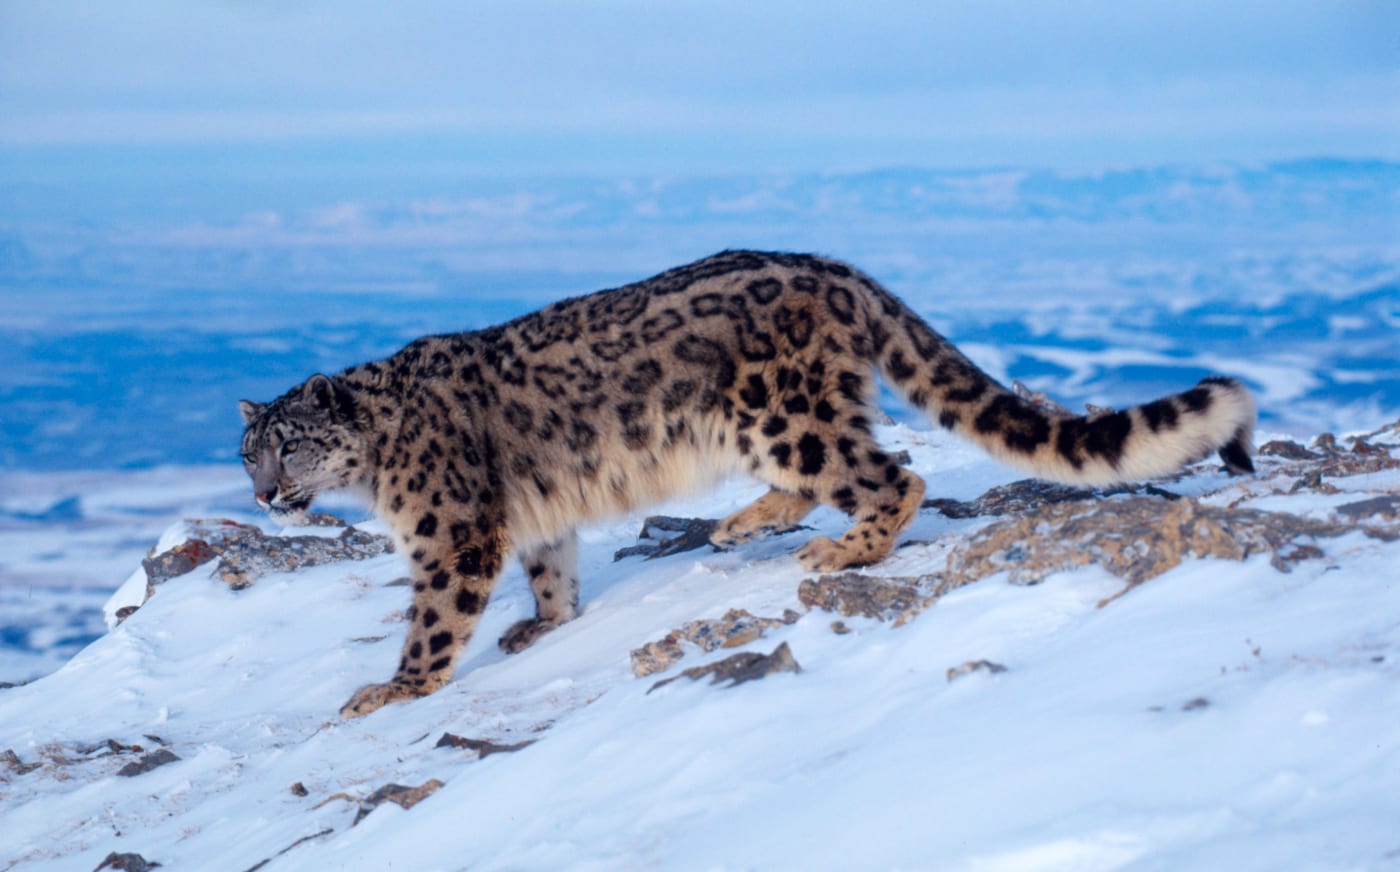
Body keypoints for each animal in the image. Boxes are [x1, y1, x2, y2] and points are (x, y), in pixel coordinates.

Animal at [238, 250, 1256, 718]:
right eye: (247, 452)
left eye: (291, 445)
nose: (261, 496)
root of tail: (836, 270)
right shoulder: (528, 515)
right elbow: (551, 563)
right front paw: (544, 624)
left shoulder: (449, 528)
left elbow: (436, 615)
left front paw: (392, 689)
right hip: (777, 424)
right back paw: (741, 525)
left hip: (782, 413)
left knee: (890, 474)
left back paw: (842, 548)